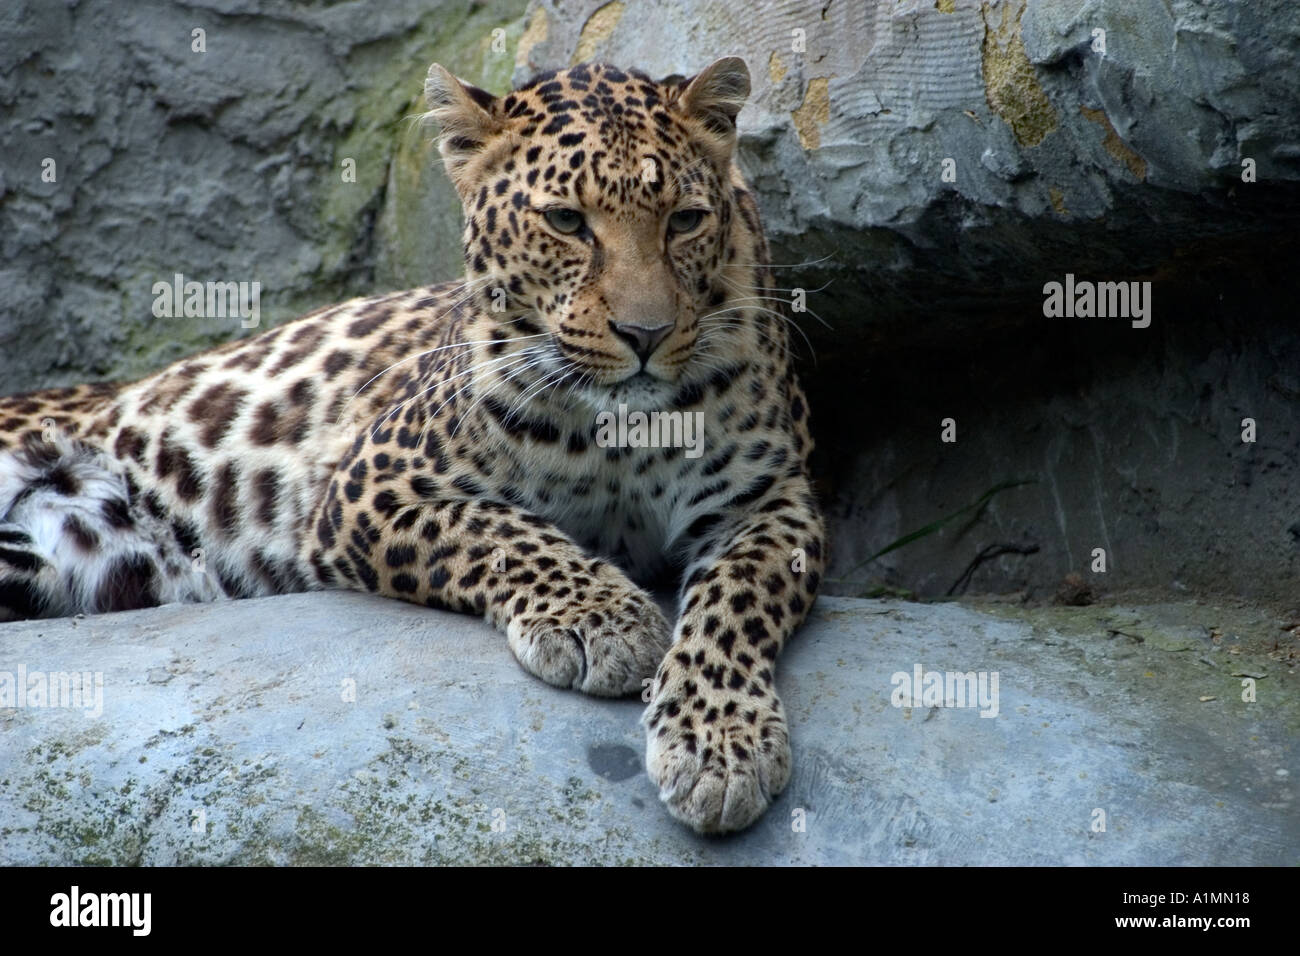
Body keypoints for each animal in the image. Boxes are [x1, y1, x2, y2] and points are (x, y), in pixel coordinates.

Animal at [0, 57, 826, 834]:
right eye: (566, 220)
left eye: (685, 221)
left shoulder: (770, 502)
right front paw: (605, 620)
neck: (620, 430)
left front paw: (719, 742)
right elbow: (503, 531)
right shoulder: (374, 481)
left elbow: (738, 599)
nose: (646, 334)